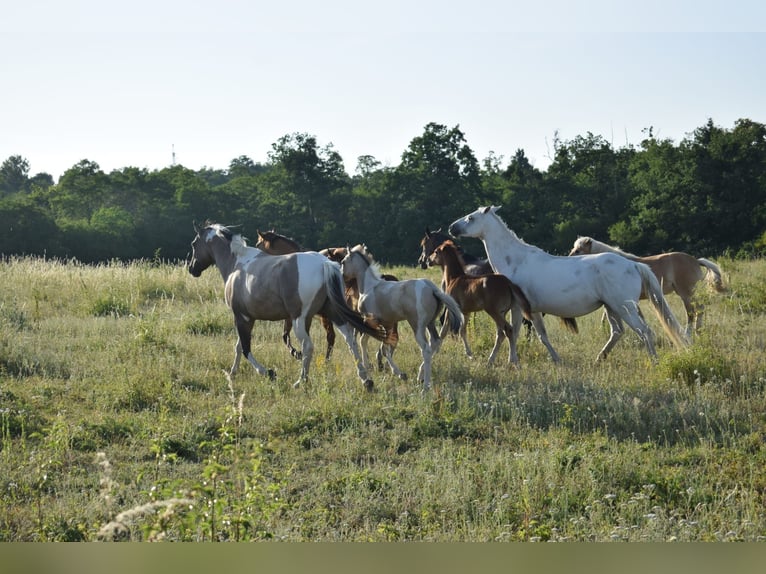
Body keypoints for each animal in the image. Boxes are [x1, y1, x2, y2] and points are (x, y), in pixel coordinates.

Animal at [254, 229, 337, 360]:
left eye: (258, 245)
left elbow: (286, 335)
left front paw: (296, 353)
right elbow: (286, 334)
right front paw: (297, 352)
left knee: (331, 336)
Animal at [340, 244, 464, 390]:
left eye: (343, 262)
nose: (341, 278)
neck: (369, 287)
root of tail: (432, 288)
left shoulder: (371, 321)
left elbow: (371, 344)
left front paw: (395, 373)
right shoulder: (387, 323)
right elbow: (384, 346)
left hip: (417, 326)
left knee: (426, 349)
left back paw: (425, 386)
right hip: (430, 323)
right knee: (435, 342)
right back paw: (420, 376)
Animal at [448, 206, 688, 363]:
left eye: (470, 218)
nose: (451, 228)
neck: (515, 261)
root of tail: (633, 265)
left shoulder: (517, 308)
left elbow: (512, 332)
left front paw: (509, 361)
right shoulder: (531, 311)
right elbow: (540, 335)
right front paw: (555, 360)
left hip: (624, 308)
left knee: (645, 332)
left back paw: (654, 361)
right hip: (612, 307)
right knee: (617, 332)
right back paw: (599, 359)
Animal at [568, 236, 725, 337]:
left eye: (578, 250)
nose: (568, 258)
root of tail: (695, 260)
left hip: (686, 294)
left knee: (692, 312)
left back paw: (689, 333)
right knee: (700, 309)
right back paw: (699, 332)